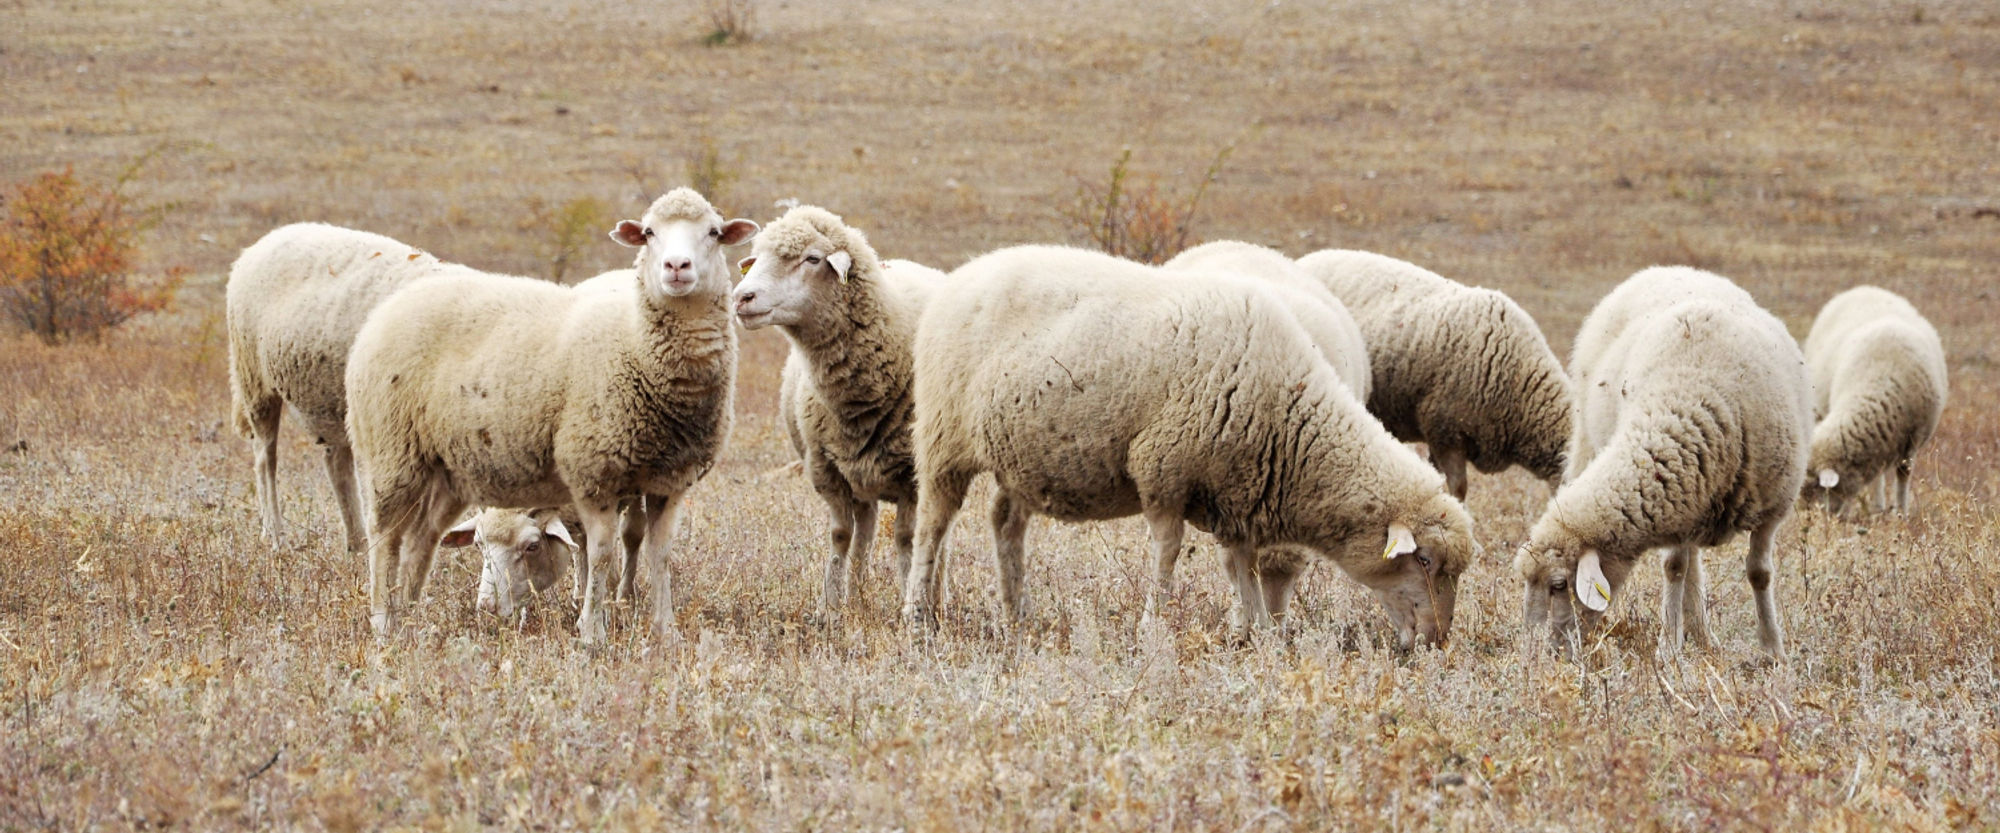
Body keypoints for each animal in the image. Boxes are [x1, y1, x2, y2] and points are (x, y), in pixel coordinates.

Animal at [225, 223, 469, 551]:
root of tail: (262, 243)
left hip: (330, 398)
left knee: (337, 462)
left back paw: (355, 542)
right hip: (254, 379)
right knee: (266, 458)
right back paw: (276, 535)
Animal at [343, 188, 758, 641]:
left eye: (714, 232)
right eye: (649, 233)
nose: (677, 267)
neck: (635, 344)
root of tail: (387, 309)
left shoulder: (670, 481)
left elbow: (659, 554)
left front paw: (665, 632)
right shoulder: (593, 474)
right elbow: (600, 554)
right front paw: (592, 630)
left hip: (446, 470)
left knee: (422, 539)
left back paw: (412, 616)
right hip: (389, 454)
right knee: (384, 540)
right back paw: (383, 622)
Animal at [731, 206, 947, 613]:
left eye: (813, 259)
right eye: (756, 256)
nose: (741, 297)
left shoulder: (912, 473)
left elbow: (907, 538)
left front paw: (910, 602)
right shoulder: (825, 466)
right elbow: (841, 534)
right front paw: (830, 606)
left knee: (937, 534)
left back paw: (937, 592)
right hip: (859, 474)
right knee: (865, 529)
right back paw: (857, 594)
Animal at [1512, 267, 1811, 661]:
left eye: (1559, 584)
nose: (1537, 658)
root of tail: (1667, 269)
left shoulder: (1772, 508)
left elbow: (1759, 573)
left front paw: (1773, 648)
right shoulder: (1679, 505)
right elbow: (1674, 568)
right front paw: (1669, 647)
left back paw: (1703, 635)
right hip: (1592, 442)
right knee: (1690, 565)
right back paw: (1697, 631)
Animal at [1798, 286, 1948, 515]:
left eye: (1816, 487)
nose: (1808, 518)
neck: (1881, 382)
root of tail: (1862, 289)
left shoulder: (1912, 440)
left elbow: (1904, 474)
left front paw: (1901, 512)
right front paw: (1876, 509)